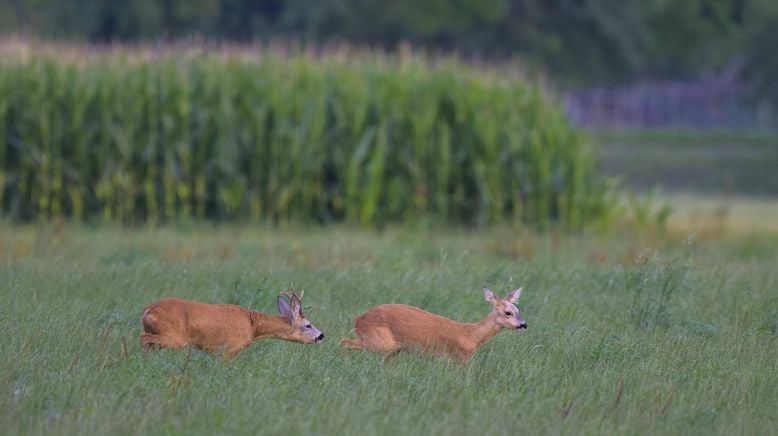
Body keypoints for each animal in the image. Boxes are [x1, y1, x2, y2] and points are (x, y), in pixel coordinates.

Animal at [139, 290, 322, 358]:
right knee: (143, 337)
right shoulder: (231, 348)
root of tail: (147, 310)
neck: (253, 326)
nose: (322, 336)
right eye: (308, 325)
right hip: (175, 337)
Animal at [338, 288, 524, 362]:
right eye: (508, 312)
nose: (523, 324)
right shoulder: (460, 358)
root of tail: (358, 320)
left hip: (393, 349)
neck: (472, 335)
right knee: (343, 341)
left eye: (518, 310)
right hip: (381, 342)